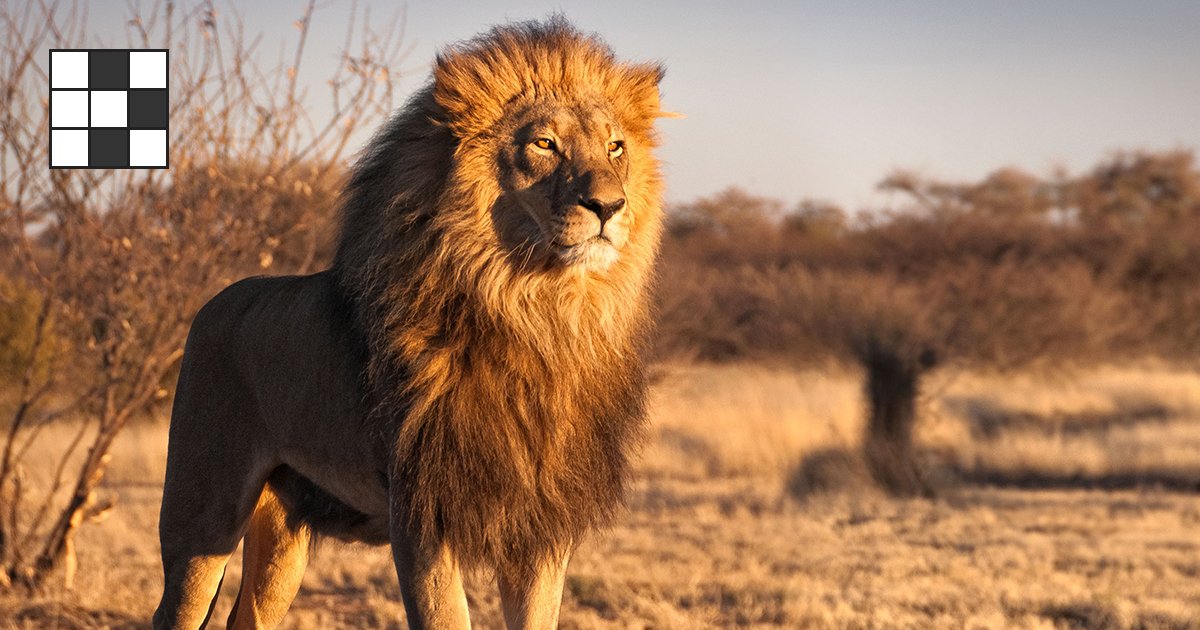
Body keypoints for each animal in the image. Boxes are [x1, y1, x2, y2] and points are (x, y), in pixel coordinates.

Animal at [151, 17, 672, 624]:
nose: (609, 206)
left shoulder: (540, 527)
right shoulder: (422, 519)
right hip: (200, 518)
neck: (538, 315)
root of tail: (214, 302)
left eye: (615, 147)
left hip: (284, 537)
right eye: (544, 144)